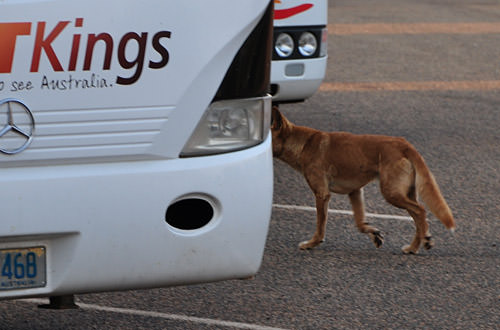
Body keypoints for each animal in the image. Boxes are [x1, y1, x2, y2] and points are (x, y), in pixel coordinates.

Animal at [272, 107, 456, 254]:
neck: (304, 145)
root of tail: (405, 145)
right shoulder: (355, 192)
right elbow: (360, 223)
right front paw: (374, 234)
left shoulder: (322, 194)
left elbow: (320, 226)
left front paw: (311, 243)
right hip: (404, 194)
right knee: (417, 217)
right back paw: (413, 247)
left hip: (391, 193)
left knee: (421, 211)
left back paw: (425, 240)